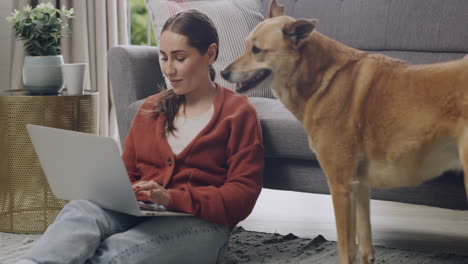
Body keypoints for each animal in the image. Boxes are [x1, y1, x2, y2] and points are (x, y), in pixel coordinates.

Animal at [221, 1, 468, 262]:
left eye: (256, 50)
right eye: (246, 46)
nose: (223, 73)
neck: (321, 80)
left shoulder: (340, 186)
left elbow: (346, 249)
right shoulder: (360, 186)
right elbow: (365, 247)